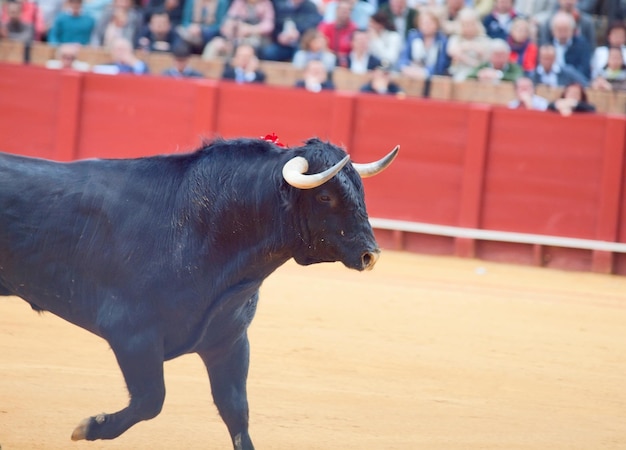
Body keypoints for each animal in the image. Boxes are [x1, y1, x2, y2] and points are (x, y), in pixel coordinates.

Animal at [0, 138, 398, 450]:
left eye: (360, 190)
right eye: (326, 196)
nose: (371, 254)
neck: (201, 229)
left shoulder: (229, 341)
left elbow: (237, 413)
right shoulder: (133, 335)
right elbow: (151, 400)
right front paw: (87, 428)